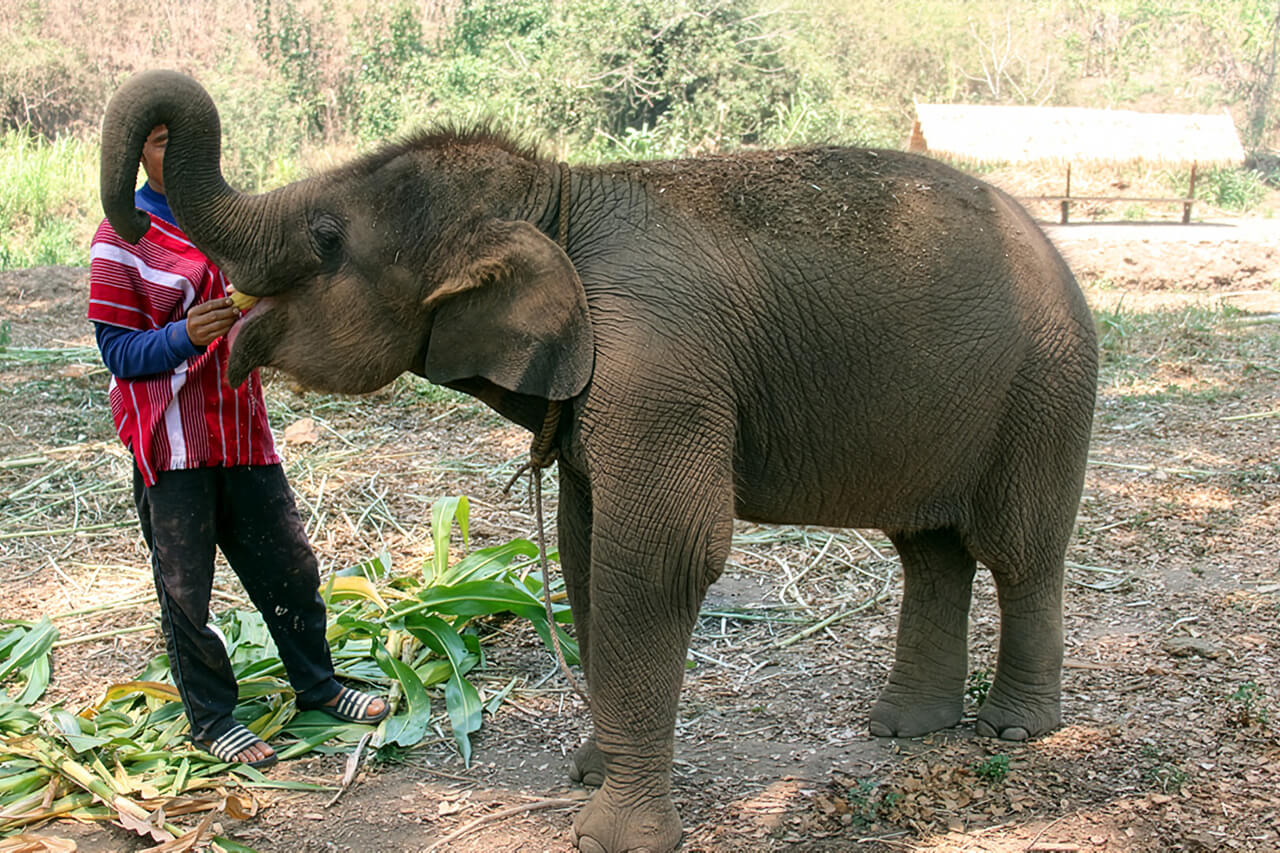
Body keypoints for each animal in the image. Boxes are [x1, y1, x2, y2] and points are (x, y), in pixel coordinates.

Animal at [101, 70, 1098, 853]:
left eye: (326, 239)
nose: (137, 205)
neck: (561, 198)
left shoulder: (656, 366)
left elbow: (660, 555)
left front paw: (609, 833)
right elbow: (585, 548)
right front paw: (591, 771)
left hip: (1047, 389)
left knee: (1018, 550)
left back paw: (1013, 726)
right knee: (929, 548)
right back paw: (904, 727)